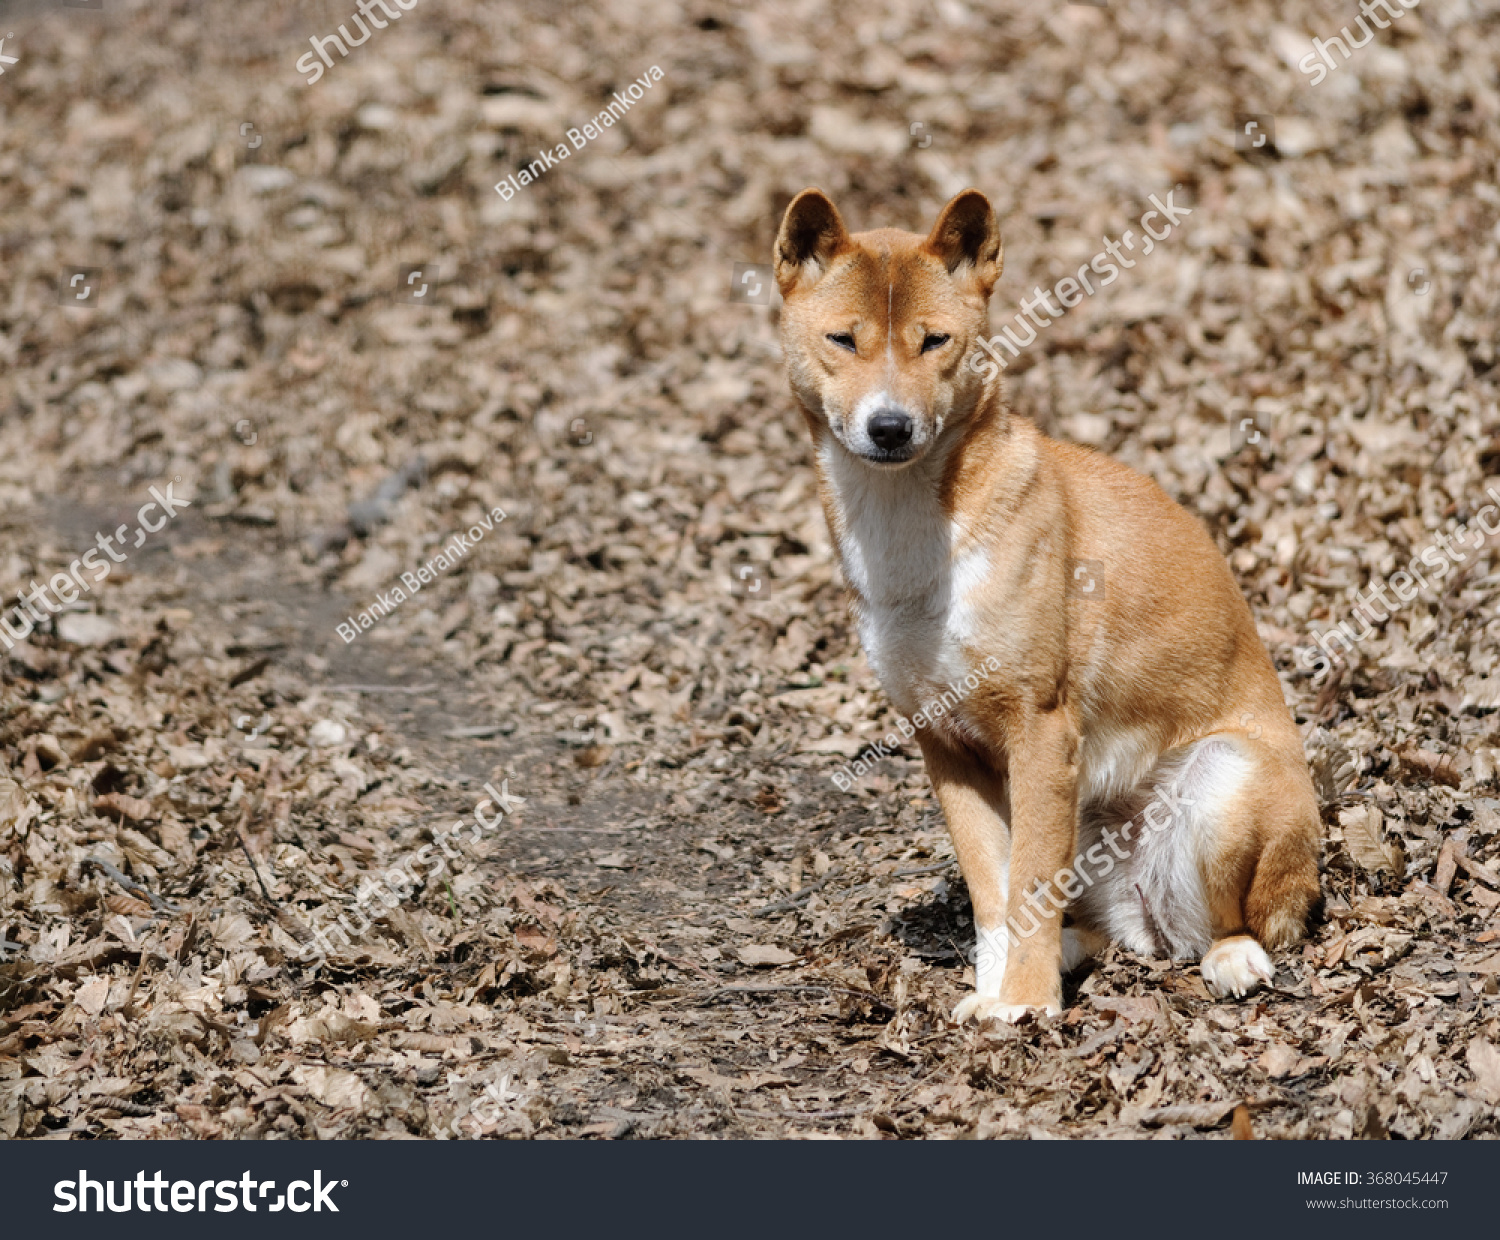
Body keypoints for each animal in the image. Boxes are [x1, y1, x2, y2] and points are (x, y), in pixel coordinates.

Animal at [780, 188, 1320, 1025]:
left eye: (935, 342)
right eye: (844, 339)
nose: (891, 427)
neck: (913, 537)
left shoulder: (1039, 730)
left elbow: (1026, 883)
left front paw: (1024, 1007)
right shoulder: (947, 746)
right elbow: (996, 893)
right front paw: (995, 992)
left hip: (1224, 779)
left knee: (1235, 924)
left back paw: (1232, 957)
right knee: (1103, 928)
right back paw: (1072, 951)